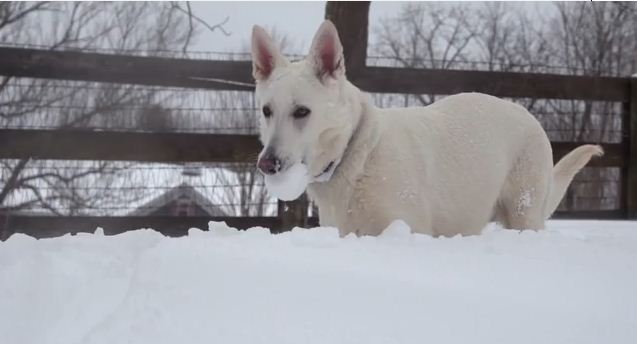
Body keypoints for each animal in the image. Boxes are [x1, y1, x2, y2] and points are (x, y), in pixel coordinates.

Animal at [250, 20, 600, 236]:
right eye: (267, 111)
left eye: (302, 112)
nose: (266, 164)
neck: (356, 154)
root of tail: (527, 115)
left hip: (523, 213)